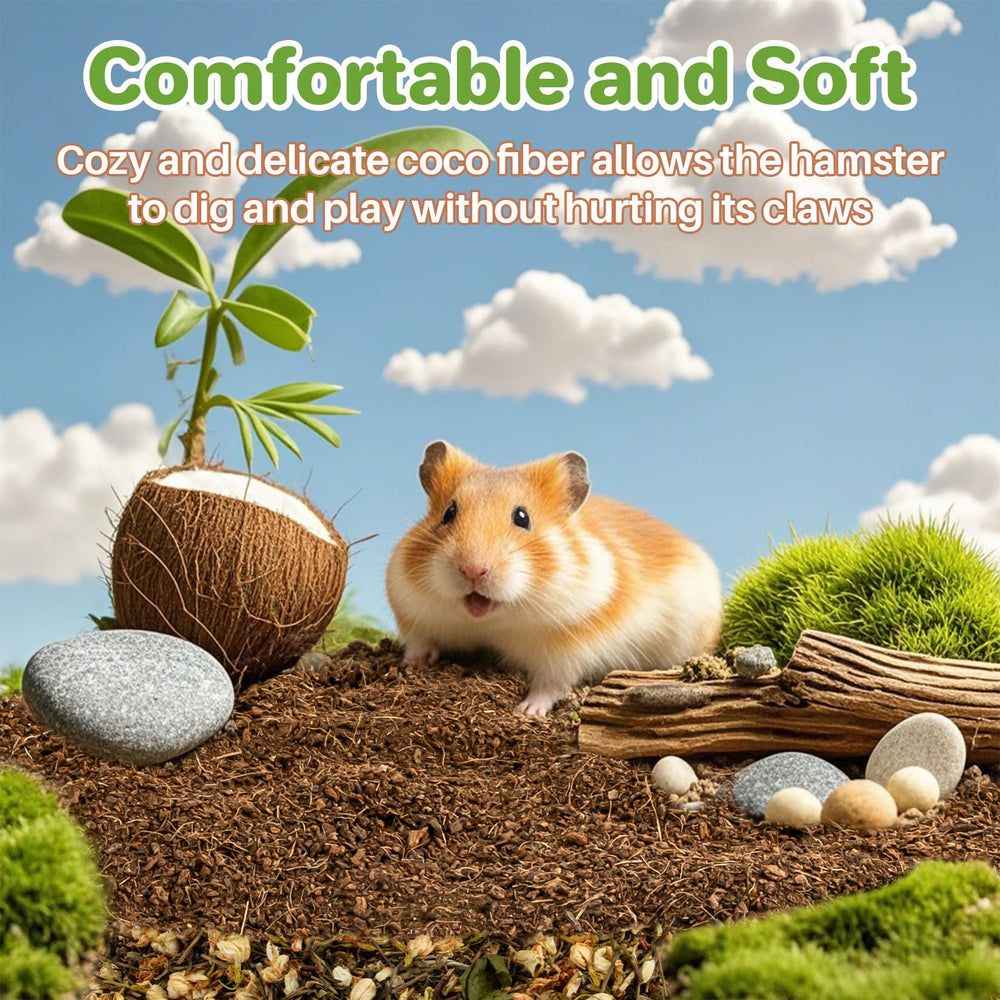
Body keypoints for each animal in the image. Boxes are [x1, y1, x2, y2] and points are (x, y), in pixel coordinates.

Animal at [386, 441, 723, 717]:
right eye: (449, 513)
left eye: (522, 517)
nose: (472, 570)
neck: (491, 621)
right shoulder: (411, 611)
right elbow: (418, 642)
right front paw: (412, 665)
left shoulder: (568, 651)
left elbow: (550, 685)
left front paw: (526, 712)